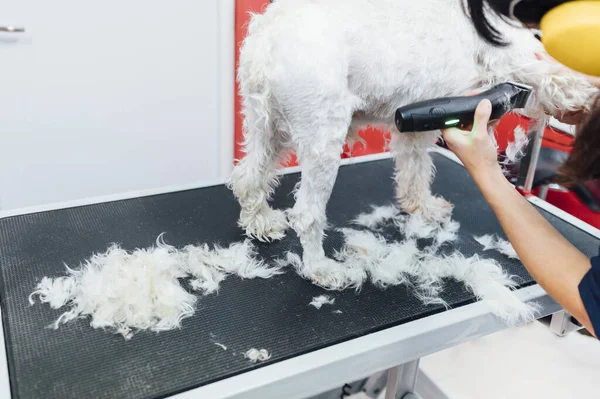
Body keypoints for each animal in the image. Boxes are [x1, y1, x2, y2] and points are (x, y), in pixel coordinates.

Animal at [226, 0, 596, 290]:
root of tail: (268, 36)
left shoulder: (418, 122)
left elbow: (416, 170)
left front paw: (422, 207)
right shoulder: (516, 62)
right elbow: (558, 78)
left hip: (267, 127)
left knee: (248, 176)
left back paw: (260, 221)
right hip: (322, 137)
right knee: (306, 215)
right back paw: (321, 269)